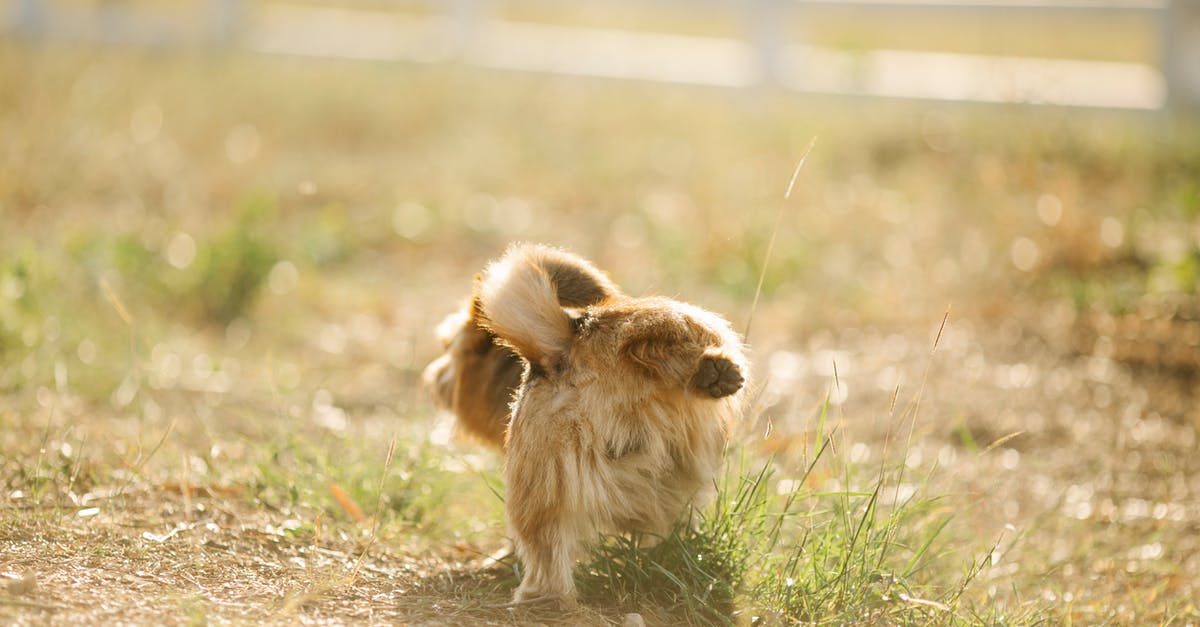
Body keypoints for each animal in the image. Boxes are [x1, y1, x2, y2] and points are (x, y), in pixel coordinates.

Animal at [422, 241, 744, 602]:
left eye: (447, 347)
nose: (431, 377)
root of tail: (571, 342)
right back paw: (711, 373)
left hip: (536, 491)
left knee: (546, 556)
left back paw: (539, 599)